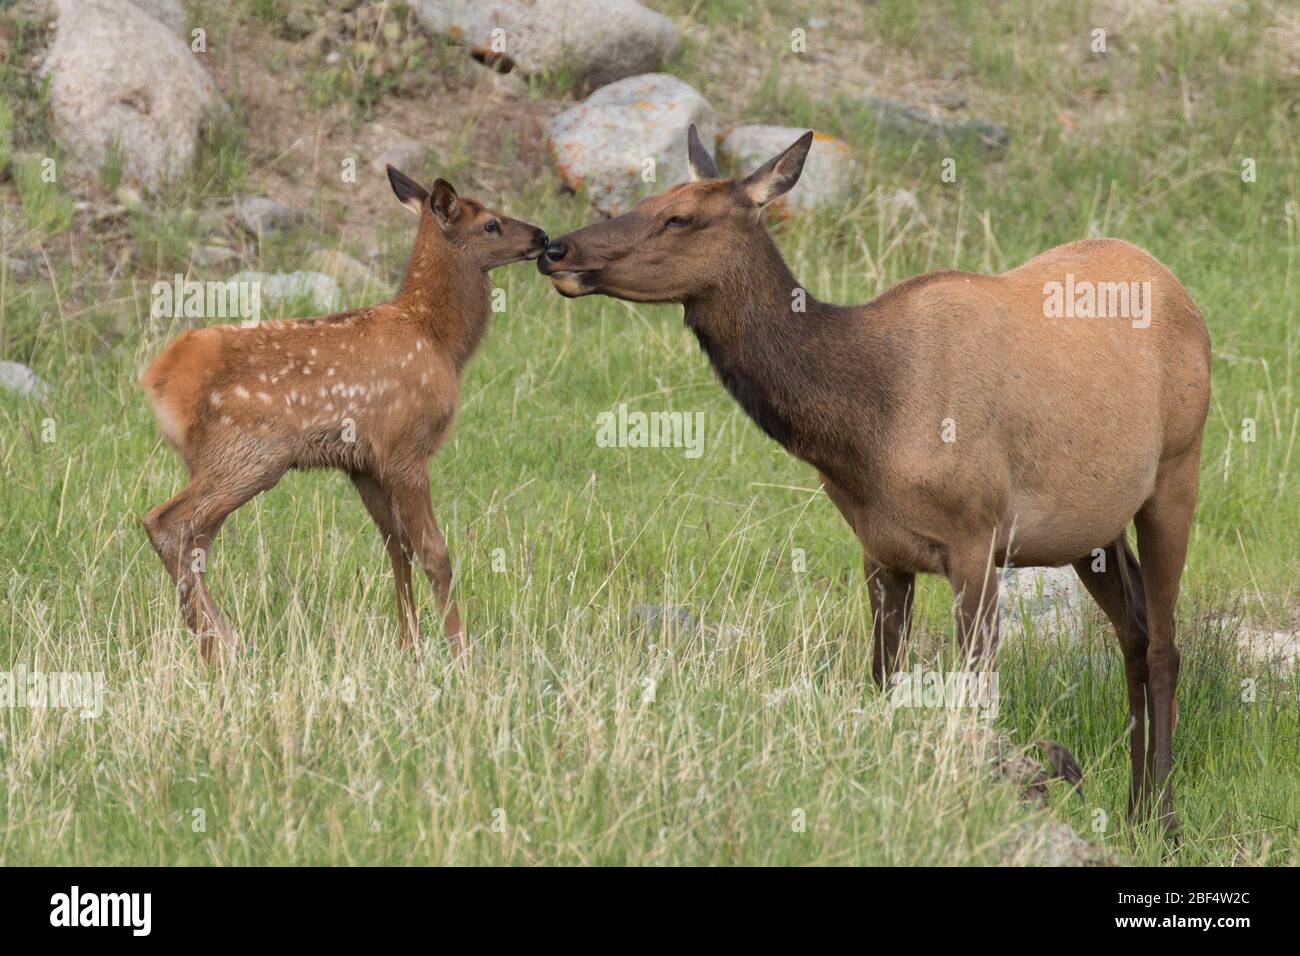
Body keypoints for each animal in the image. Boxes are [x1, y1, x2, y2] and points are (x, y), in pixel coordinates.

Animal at [142, 167, 548, 660]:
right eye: (491, 223)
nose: (543, 236)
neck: (439, 341)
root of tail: (162, 378)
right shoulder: (405, 447)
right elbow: (434, 552)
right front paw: (459, 651)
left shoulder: (363, 463)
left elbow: (397, 545)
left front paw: (409, 644)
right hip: (250, 451)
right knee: (167, 523)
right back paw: (218, 643)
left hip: (214, 460)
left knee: (195, 540)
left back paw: (217, 638)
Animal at [538, 125, 1206, 832]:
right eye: (648, 196)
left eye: (680, 216)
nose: (557, 249)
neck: (866, 431)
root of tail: (1176, 285)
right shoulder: (879, 548)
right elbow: (883, 682)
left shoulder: (976, 535)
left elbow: (975, 691)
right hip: (1091, 529)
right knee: (1133, 632)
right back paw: (1135, 808)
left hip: (1177, 469)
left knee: (1164, 645)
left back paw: (1164, 820)